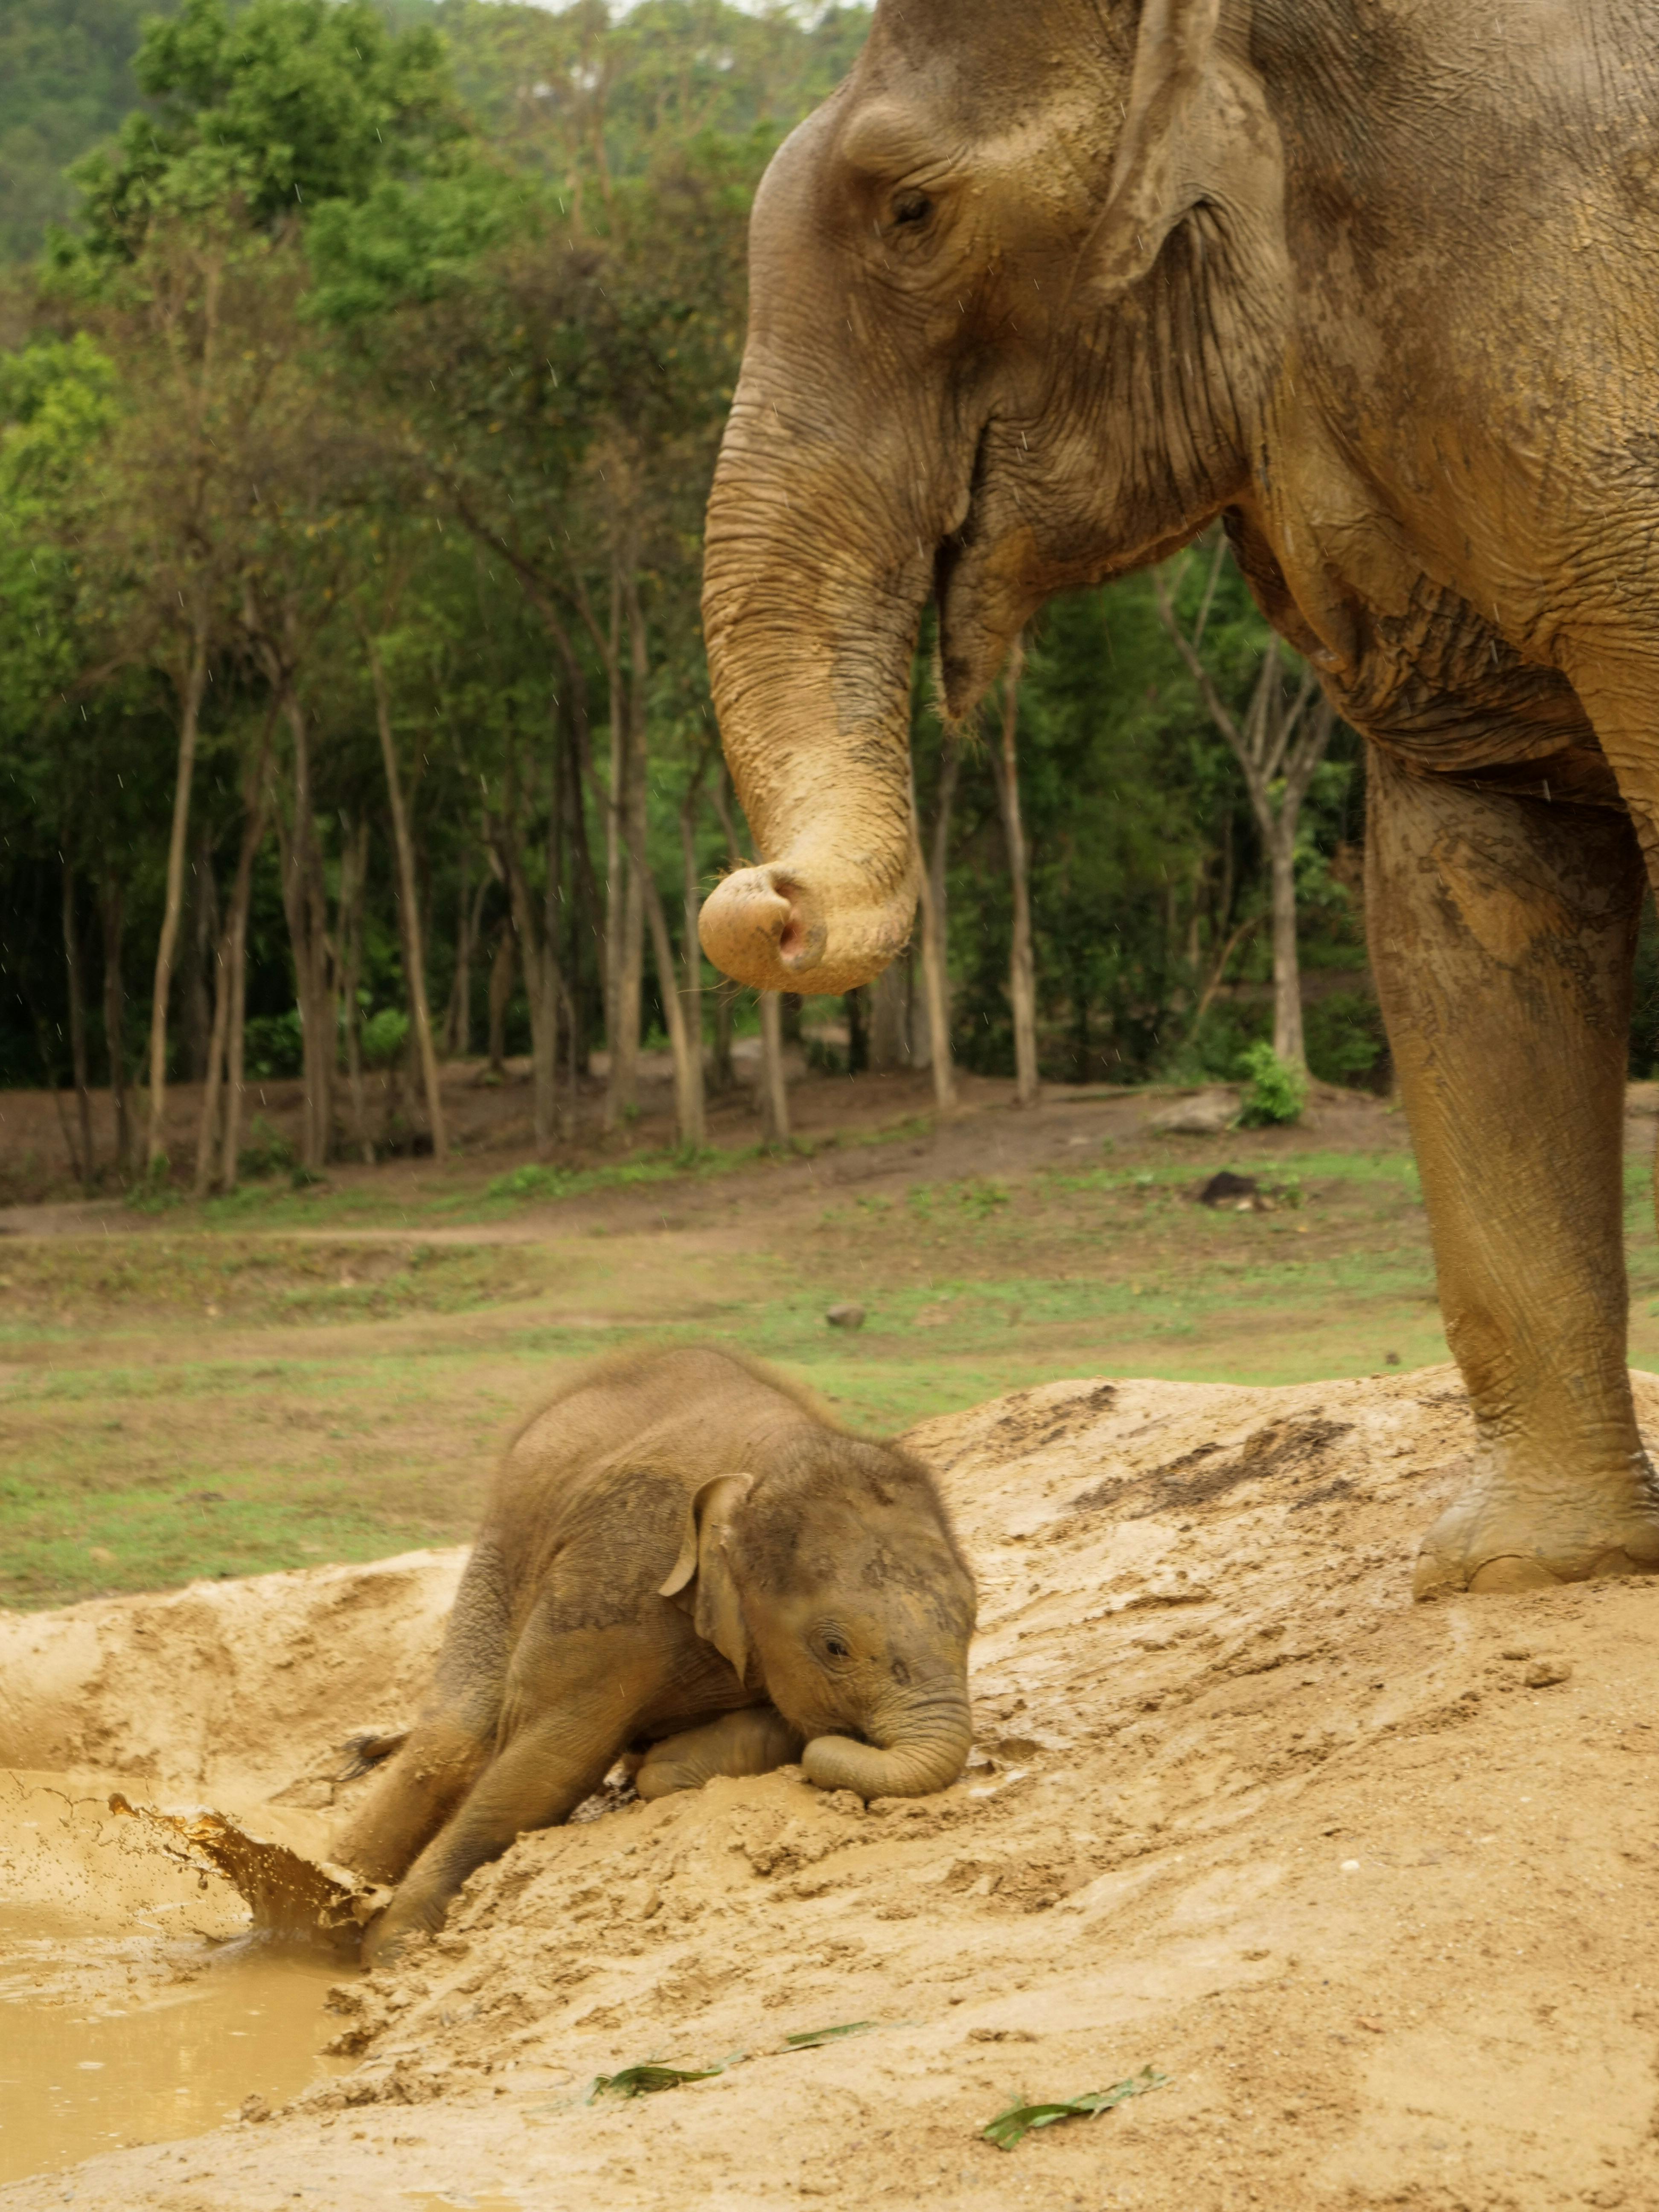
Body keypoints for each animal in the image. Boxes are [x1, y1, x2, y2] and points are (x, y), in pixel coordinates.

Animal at [341, 1336, 987, 1964]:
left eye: (973, 1620)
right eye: (835, 1648)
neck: (765, 1467)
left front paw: (672, 1762)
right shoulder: (612, 1582)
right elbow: (545, 1765)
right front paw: (394, 1953)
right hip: (506, 1544)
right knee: (456, 1739)